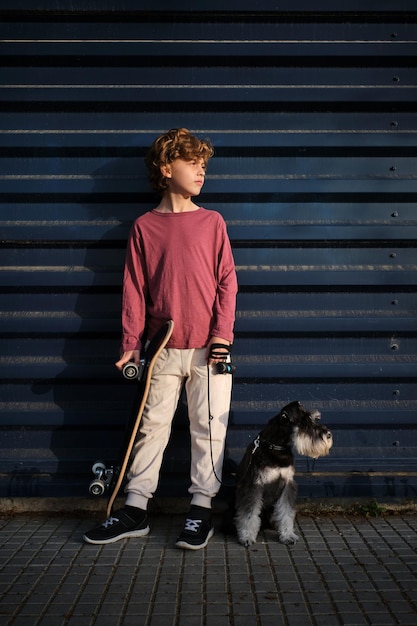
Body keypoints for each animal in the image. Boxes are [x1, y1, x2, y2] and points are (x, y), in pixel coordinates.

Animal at [234, 402, 332, 544]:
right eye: (305, 422)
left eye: (315, 419)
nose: (328, 435)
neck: (277, 447)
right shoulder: (254, 485)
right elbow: (249, 513)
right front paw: (246, 536)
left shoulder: (287, 484)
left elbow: (286, 512)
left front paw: (288, 535)